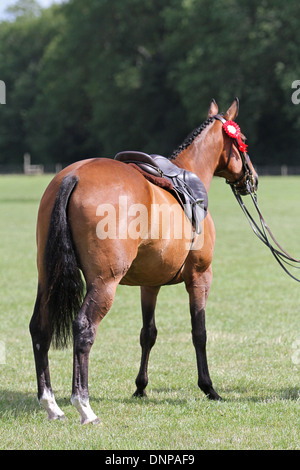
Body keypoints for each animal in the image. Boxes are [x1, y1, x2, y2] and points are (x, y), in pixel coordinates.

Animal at [28, 97, 258, 424]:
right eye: (243, 141)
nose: (252, 178)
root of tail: (73, 176)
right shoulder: (200, 277)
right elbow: (199, 332)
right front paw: (209, 387)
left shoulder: (150, 284)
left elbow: (147, 334)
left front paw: (140, 387)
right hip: (104, 283)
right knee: (83, 329)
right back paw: (84, 405)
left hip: (48, 276)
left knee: (40, 328)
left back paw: (50, 403)